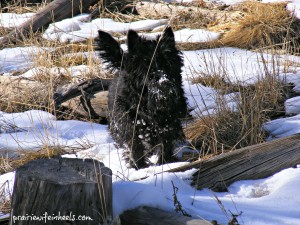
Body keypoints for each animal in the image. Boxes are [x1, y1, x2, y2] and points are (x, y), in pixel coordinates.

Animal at [97, 27, 188, 169]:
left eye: (168, 64)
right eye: (146, 67)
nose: (163, 82)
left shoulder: (169, 122)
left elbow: (165, 143)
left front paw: (164, 162)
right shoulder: (129, 124)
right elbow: (135, 145)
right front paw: (139, 166)